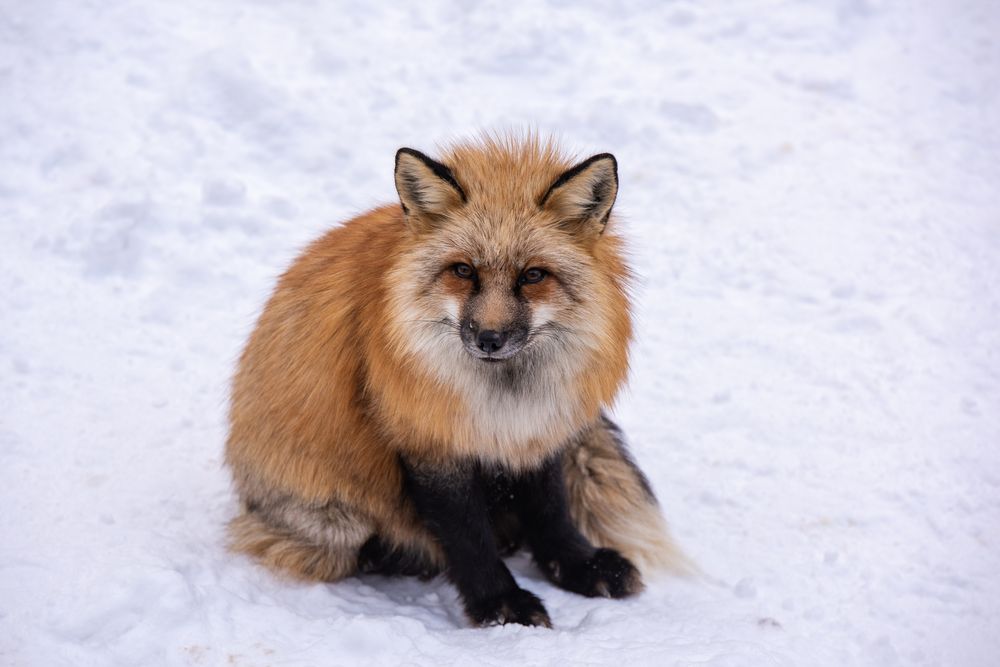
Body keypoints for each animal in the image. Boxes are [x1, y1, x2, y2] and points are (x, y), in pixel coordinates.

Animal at [225, 134, 688, 628]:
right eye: (464, 271)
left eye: (533, 276)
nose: (489, 338)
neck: (504, 399)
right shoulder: (429, 442)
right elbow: (467, 536)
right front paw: (500, 603)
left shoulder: (541, 429)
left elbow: (552, 510)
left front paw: (575, 564)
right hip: (331, 520)